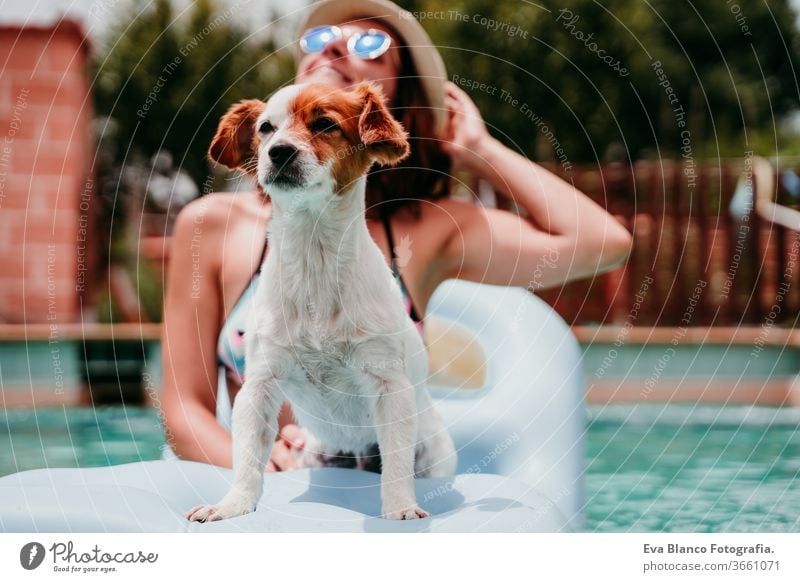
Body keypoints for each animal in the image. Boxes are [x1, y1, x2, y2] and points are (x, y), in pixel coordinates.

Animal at [186, 82, 456, 524]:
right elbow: (247, 460)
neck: (315, 256)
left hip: (433, 453)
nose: (279, 151)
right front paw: (232, 506)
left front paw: (400, 507)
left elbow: (397, 464)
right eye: (265, 129)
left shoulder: (389, 385)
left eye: (325, 124)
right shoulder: (259, 386)